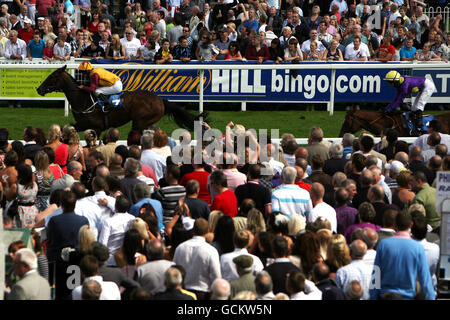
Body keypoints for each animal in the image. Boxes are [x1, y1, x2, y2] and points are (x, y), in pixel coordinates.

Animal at [37, 65, 206, 135]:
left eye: (52, 77)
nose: (39, 89)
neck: (83, 100)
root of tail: (160, 100)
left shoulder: (96, 127)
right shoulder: (81, 125)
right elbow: (66, 128)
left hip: (140, 122)